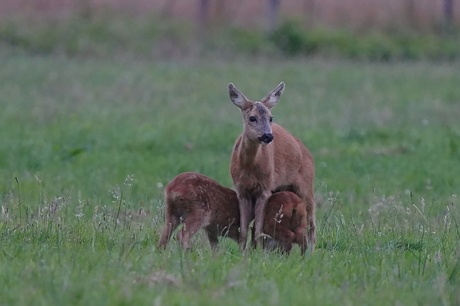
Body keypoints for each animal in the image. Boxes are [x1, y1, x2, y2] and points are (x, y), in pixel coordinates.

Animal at [227, 81, 316, 251]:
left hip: (306, 184)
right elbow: (244, 230)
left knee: (312, 224)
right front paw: (242, 252)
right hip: (282, 188)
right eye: (252, 118)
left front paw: (258, 253)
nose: (268, 135)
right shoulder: (241, 190)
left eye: (270, 118)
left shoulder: (265, 188)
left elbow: (258, 229)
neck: (249, 168)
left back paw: (311, 253)